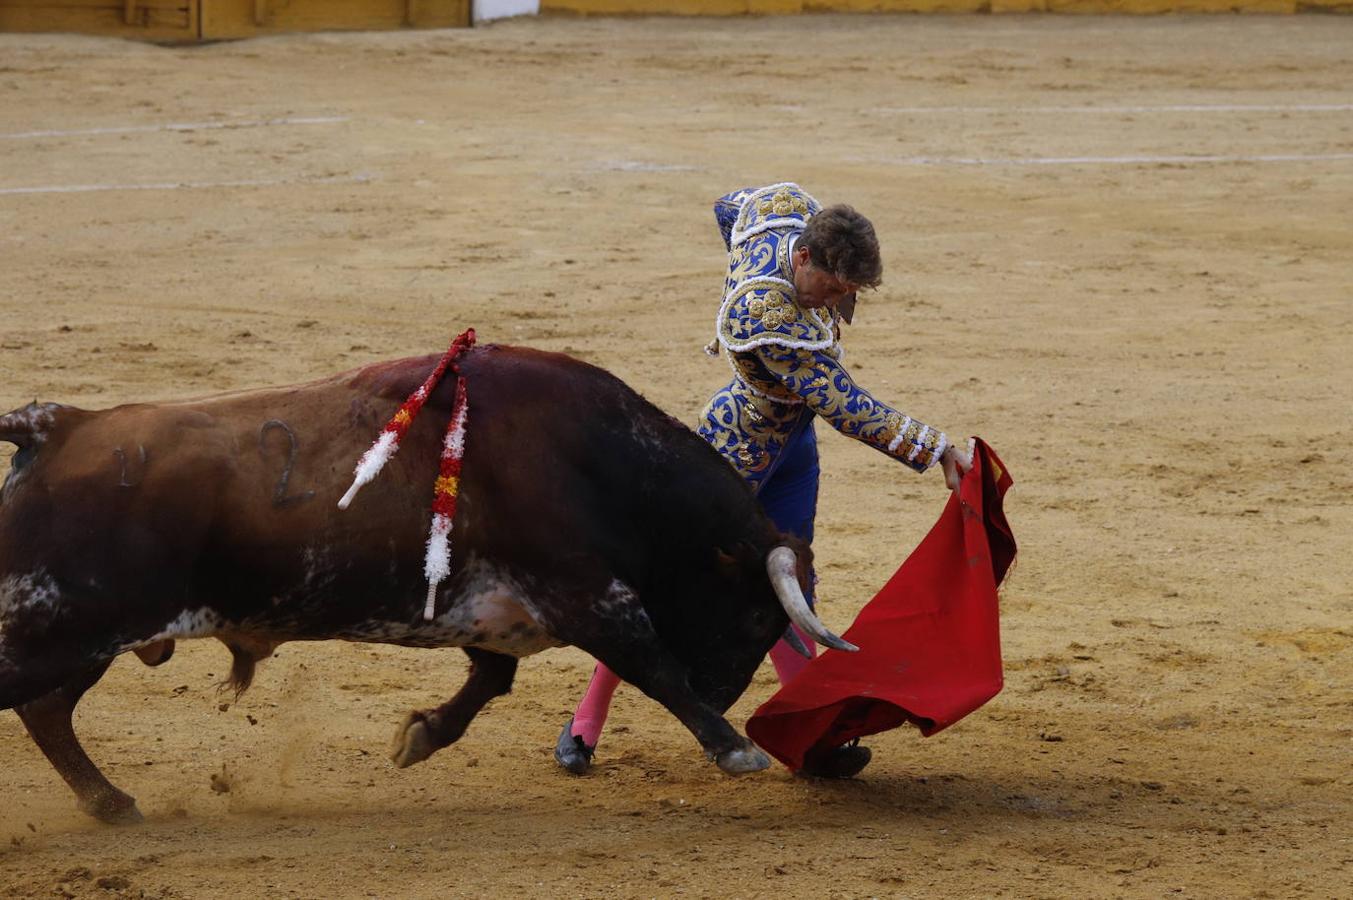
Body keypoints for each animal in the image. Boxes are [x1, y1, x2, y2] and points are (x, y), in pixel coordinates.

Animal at [0, 343, 849, 822]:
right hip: (59, 625)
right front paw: (734, 749)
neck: (595, 459)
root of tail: (58, 425)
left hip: (80, 635)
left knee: (47, 712)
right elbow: (653, 665)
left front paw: (418, 735)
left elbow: (491, 682)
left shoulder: (500, 610)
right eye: (756, 618)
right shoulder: (588, 596)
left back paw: (111, 804)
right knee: (38, 703)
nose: (723, 695)